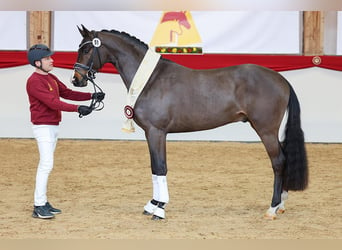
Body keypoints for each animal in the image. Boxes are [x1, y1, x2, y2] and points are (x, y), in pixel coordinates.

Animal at [71, 25, 308, 220]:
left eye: (87, 49)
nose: (77, 80)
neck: (151, 79)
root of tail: (281, 79)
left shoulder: (156, 132)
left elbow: (160, 167)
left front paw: (159, 209)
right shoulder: (153, 133)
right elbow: (155, 167)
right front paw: (152, 204)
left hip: (266, 130)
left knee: (278, 161)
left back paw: (272, 208)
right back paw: (281, 205)